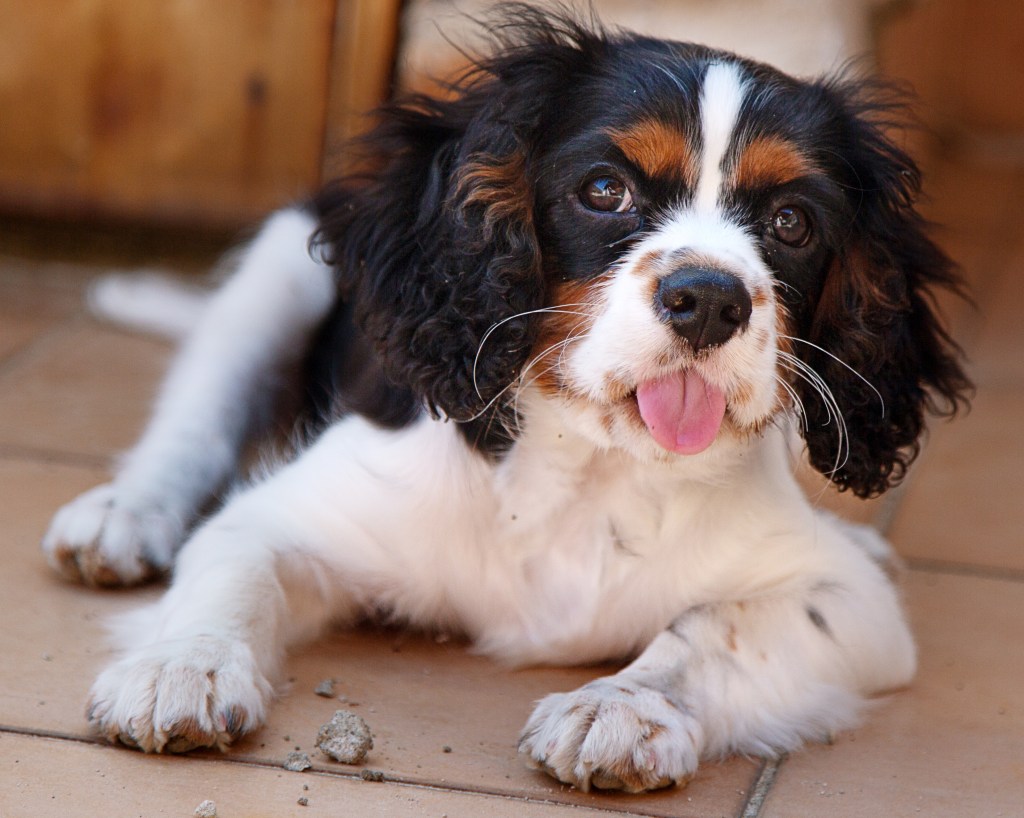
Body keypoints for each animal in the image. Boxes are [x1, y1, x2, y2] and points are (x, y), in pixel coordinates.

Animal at [39, 7, 966, 794]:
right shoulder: (293, 514)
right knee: (192, 421)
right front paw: (180, 669)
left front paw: (620, 708)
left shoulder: (848, 604)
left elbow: (707, 631)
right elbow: (229, 571)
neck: (591, 466)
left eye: (791, 223)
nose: (709, 299)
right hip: (275, 275)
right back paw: (122, 516)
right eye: (604, 190)